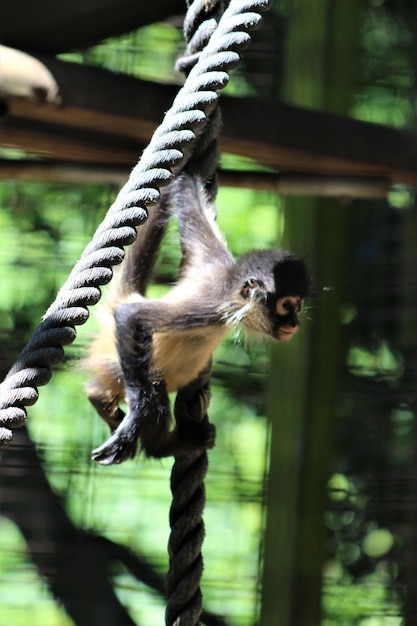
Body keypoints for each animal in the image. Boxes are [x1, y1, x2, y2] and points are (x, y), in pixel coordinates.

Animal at [85, 171, 308, 464]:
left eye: (299, 306)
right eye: (286, 305)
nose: (295, 324)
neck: (230, 289)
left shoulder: (214, 261)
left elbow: (191, 201)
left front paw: (190, 175)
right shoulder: (211, 306)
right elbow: (131, 318)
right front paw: (135, 419)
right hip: (118, 368)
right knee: (154, 392)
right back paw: (165, 446)